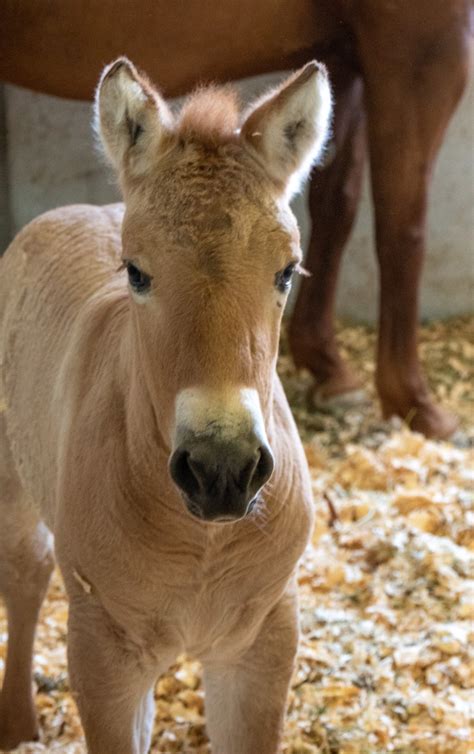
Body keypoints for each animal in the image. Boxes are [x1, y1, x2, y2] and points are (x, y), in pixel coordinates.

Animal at [0, 1, 472, 434]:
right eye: (135, 271)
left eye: (288, 270)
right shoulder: (422, 45)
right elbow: (403, 228)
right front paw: (416, 402)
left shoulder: (343, 56)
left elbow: (337, 203)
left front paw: (329, 367)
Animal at [0, 57, 332, 752]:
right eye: (135, 271)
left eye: (287, 271)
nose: (221, 470)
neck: (200, 543)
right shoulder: (101, 653)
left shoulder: (263, 645)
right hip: (13, 483)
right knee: (24, 576)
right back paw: (17, 724)